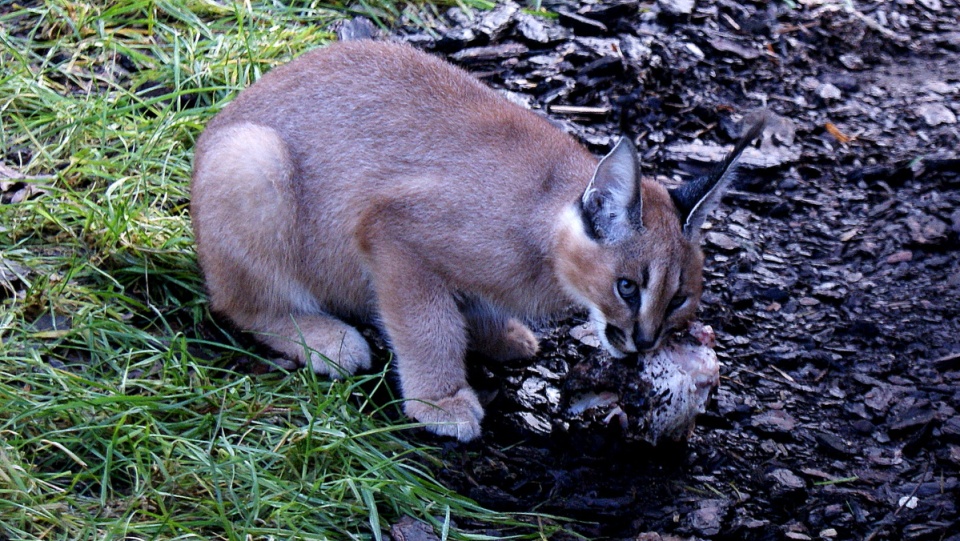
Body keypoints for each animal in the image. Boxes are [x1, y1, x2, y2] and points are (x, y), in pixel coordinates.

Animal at [193, 40, 764, 440]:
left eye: (679, 298)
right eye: (628, 287)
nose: (645, 342)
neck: (544, 233)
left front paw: (498, 332)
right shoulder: (393, 230)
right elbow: (428, 324)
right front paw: (441, 401)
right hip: (253, 159)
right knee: (235, 304)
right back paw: (325, 338)